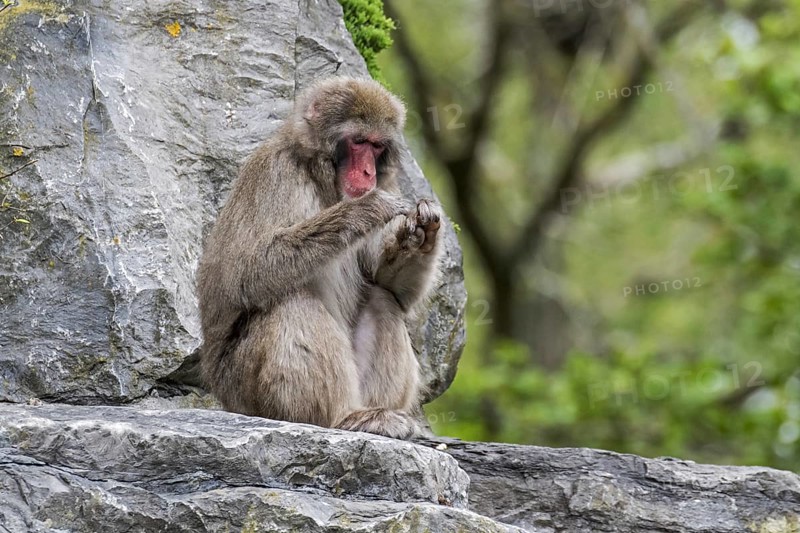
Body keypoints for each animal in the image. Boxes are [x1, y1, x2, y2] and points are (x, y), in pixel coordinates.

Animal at [196, 77, 442, 439]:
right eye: (358, 142)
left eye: (377, 146)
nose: (368, 173)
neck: (320, 176)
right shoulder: (277, 173)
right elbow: (243, 273)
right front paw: (364, 210)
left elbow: (391, 288)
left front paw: (422, 233)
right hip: (243, 391)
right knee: (293, 299)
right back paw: (342, 418)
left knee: (382, 299)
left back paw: (376, 416)